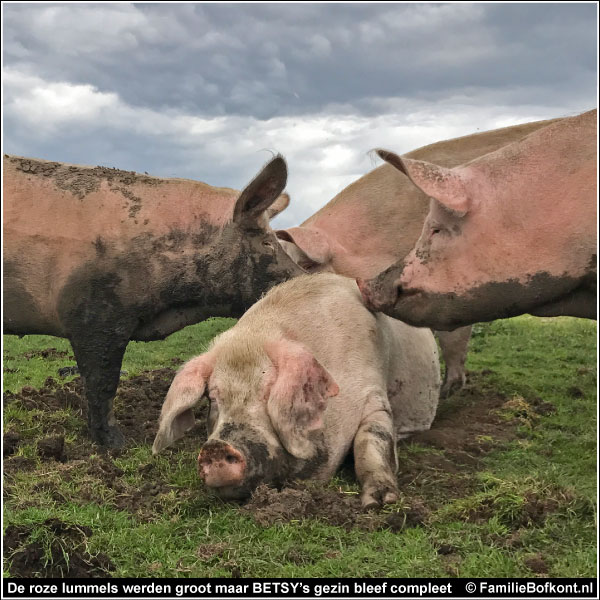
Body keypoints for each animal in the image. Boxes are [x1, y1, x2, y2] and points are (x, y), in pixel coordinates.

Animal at [151, 274, 440, 508]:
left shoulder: (374, 395)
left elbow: (372, 439)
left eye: (269, 390)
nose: (216, 448)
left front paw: (379, 502)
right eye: (212, 397)